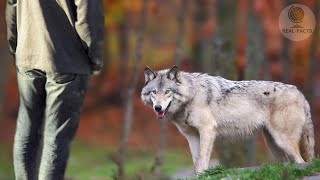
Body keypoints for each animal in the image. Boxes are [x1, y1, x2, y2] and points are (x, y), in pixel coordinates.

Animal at [141, 65, 316, 173]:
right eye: (154, 92)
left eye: (167, 91)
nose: (158, 108)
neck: (192, 94)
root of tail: (300, 93)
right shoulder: (191, 136)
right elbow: (196, 161)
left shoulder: (207, 130)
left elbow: (203, 160)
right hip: (275, 146)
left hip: (283, 141)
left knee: (302, 161)